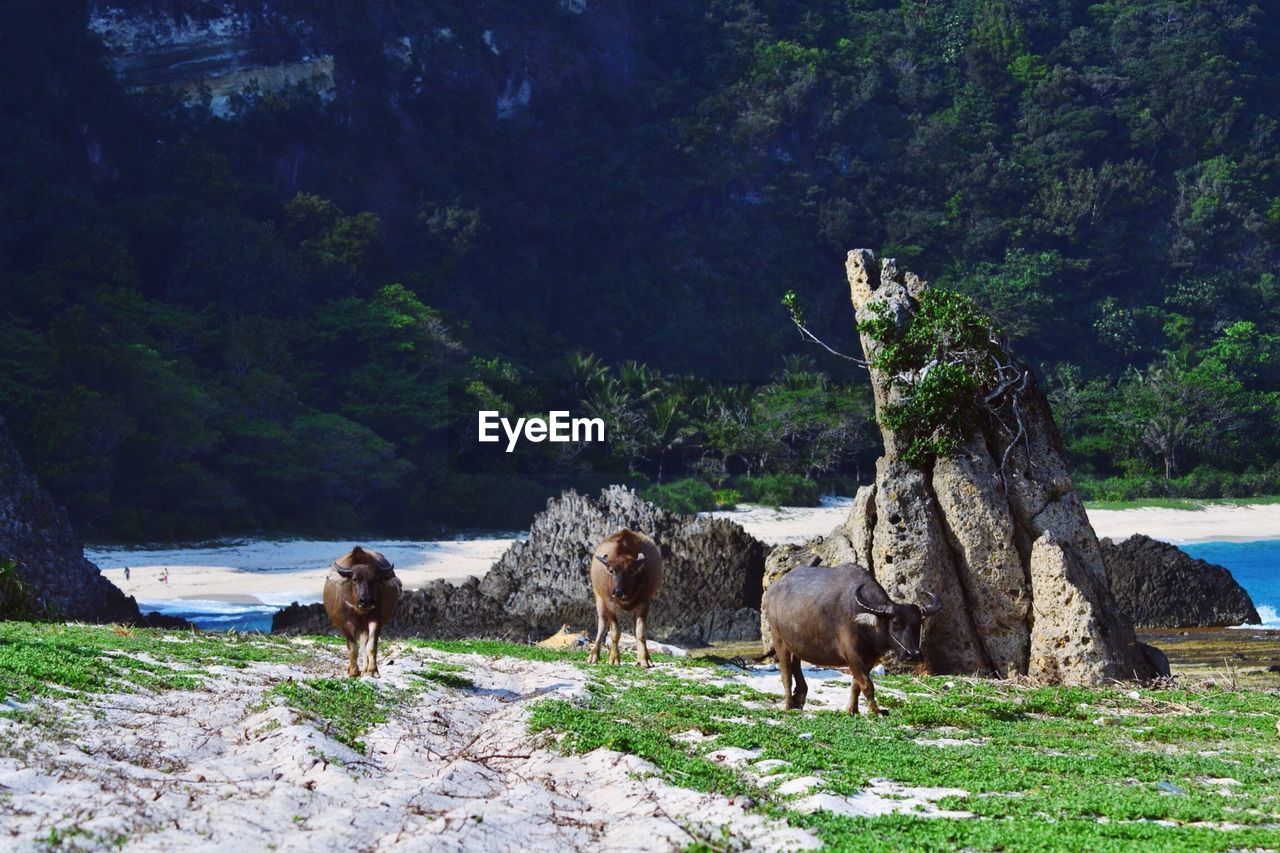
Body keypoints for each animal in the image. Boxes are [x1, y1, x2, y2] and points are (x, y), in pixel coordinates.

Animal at [320, 545, 399, 676]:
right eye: (355, 579)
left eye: (374, 580)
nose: (366, 601)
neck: (359, 611)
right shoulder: (344, 624)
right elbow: (353, 647)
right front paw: (353, 671)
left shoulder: (376, 620)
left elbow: (371, 646)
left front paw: (372, 670)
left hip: (363, 627)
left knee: (363, 645)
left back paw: (365, 669)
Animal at [588, 527, 665, 666]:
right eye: (611, 570)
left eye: (630, 571)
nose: (618, 591)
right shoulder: (609, 603)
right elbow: (615, 633)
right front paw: (614, 659)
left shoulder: (644, 603)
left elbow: (640, 632)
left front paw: (645, 660)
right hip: (599, 599)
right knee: (602, 625)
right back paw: (593, 655)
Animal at [757, 563, 942, 712]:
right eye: (895, 623)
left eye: (919, 624)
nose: (913, 655)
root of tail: (773, 590)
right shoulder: (851, 655)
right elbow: (867, 684)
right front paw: (875, 711)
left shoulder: (871, 658)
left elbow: (856, 685)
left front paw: (852, 710)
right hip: (778, 638)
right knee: (786, 673)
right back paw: (788, 705)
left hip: (796, 643)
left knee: (796, 664)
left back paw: (799, 699)